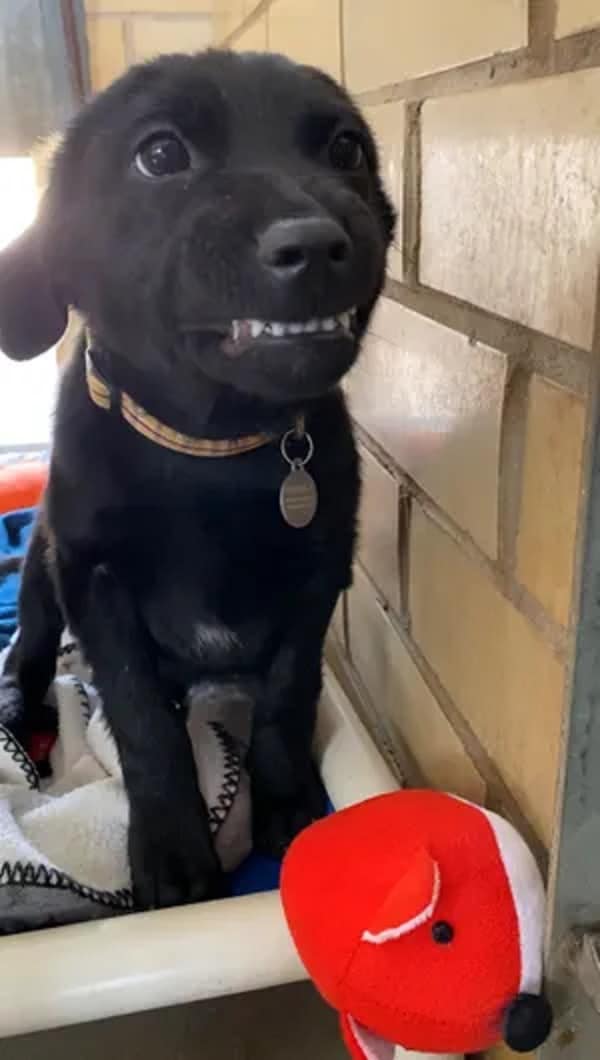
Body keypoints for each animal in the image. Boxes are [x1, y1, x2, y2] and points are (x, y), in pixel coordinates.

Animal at [0, 51, 394, 911]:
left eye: (346, 148)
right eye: (159, 155)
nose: (317, 245)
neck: (211, 452)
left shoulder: (317, 574)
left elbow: (286, 697)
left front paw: (288, 804)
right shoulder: (96, 582)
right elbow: (144, 721)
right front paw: (173, 850)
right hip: (45, 561)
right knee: (30, 645)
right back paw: (17, 704)